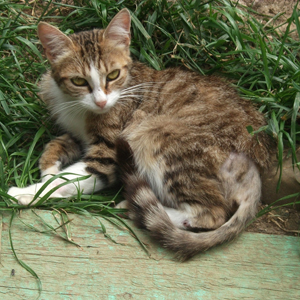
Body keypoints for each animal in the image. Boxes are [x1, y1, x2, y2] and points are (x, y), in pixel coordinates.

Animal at [8, 7, 272, 260]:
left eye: (113, 75)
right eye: (79, 81)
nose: (101, 102)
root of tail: (255, 169)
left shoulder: (108, 155)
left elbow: (67, 180)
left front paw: (26, 192)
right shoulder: (78, 134)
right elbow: (56, 146)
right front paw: (48, 169)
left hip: (156, 135)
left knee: (212, 213)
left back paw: (137, 208)